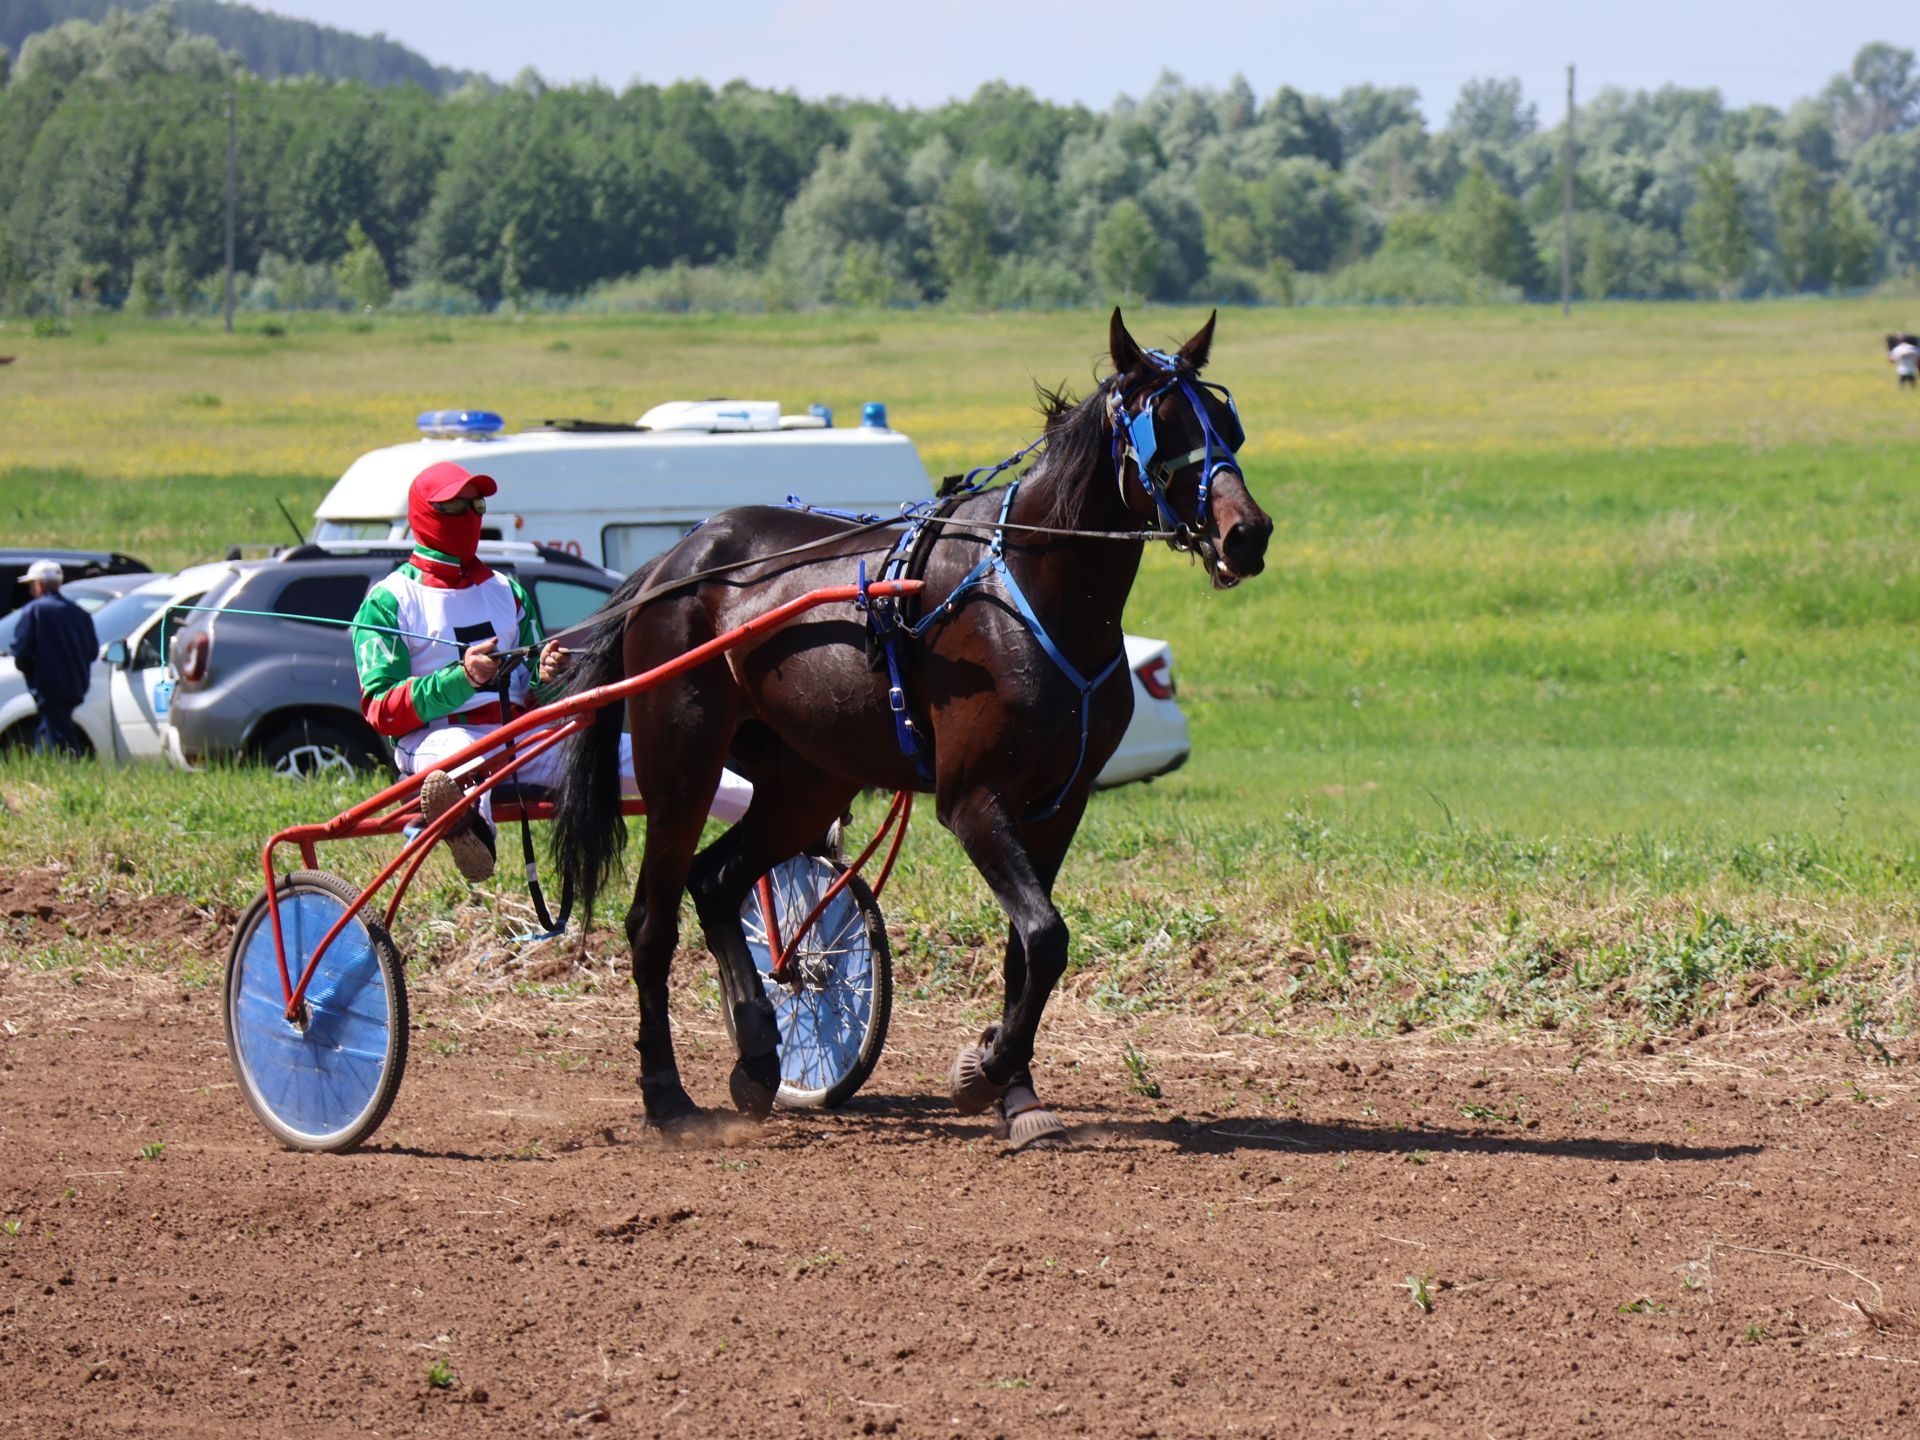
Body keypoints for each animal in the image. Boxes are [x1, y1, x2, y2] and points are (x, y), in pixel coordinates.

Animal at [552, 311, 1274, 1159]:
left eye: (1224, 420)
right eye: (1164, 426)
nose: (1248, 532)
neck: (1033, 595)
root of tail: (673, 562)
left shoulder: (1058, 806)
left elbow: (1027, 950)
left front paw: (1017, 1095)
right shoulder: (972, 797)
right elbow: (1046, 935)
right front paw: (985, 1070)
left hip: (807, 778)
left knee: (719, 881)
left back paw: (759, 1057)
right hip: (681, 763)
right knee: (652, 920)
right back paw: (667, 1097)